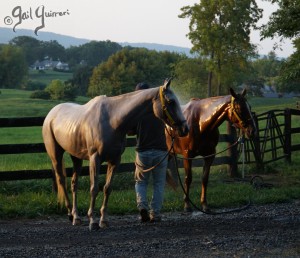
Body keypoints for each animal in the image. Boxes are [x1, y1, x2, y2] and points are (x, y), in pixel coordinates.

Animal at [42, 79, 188, 232]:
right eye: (171, 101)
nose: (185, 129)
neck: (112, 120)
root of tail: (51, 114)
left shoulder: (115, 160)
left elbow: (107, 188)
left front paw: (103, 220)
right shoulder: (95, 159)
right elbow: (94, 188)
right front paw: (93, 221)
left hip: (76, 157)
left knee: (73, 184)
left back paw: (76, 217)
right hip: (56, 155)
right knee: (61, 181)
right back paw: (70, 214)